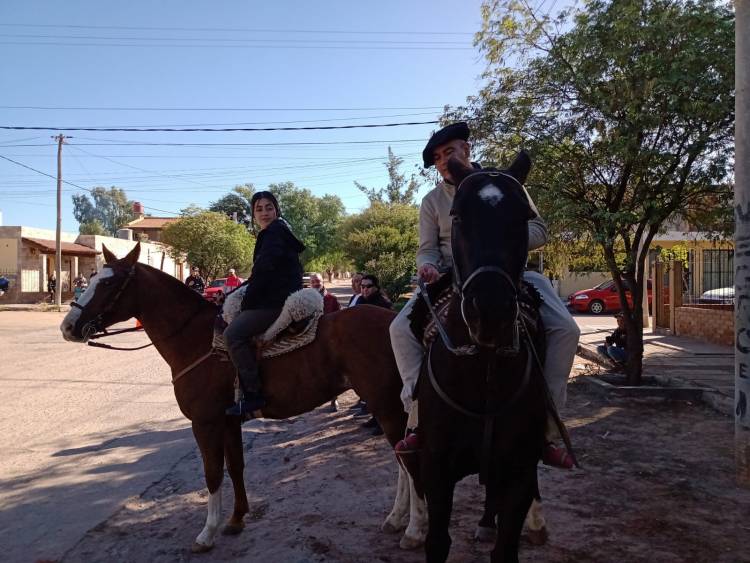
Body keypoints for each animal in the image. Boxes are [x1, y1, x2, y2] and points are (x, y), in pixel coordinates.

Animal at [59, 248, 428, 556]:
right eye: (92, 277)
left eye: (109, 284)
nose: (68, 326)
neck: (195, 340)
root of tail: (396, 322)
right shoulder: (228, 421)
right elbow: (235, 467)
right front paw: (236, 520)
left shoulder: (205, 423)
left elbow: (212, 474)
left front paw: (207, 533)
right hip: (391, 406)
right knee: (401, 462)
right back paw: (396, 519)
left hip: (385, 405)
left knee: (408, 462)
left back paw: (413, 530)